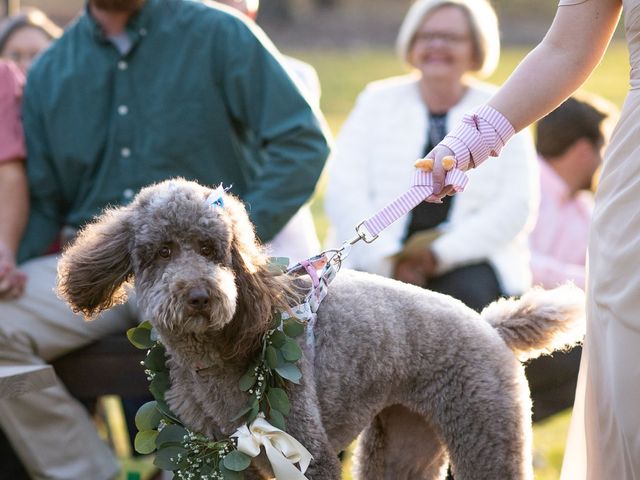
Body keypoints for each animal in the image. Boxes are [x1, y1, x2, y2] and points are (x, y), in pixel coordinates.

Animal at [57, 178, 584, 478]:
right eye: (163, 251)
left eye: (212, 250)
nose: (200, 296)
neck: (215, 353)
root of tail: (490, 326)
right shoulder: (222, 459)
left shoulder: (307, 452)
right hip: (405, 442)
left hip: (486, 432)